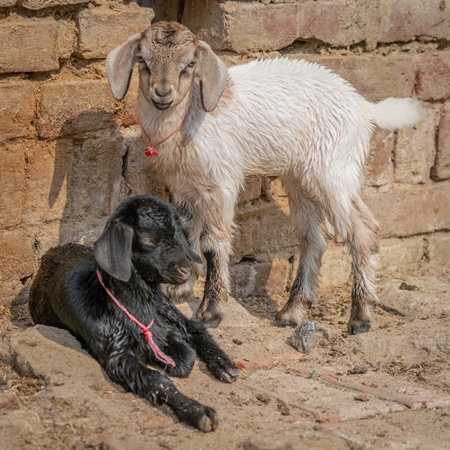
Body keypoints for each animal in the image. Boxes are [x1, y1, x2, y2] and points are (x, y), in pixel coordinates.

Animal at [29, 194, 239, 432]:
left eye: (177, 234)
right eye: (147, 240)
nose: (185, 269)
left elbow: (183, 351)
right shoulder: (115, 354)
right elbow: (159, 379)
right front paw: (199, 412)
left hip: (165, 304)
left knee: (193, 327)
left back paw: (224, 365)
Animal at [105, 22, 422, 336]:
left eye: (190, 64)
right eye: (142, 60)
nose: (162, 93)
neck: (188, 118)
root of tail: (364, 107)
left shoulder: (220, 184)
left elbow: (213, 243)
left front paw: (210, 312)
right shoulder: (183, 186)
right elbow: (185, 231)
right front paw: (180, 288)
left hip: (332, 172)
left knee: (364, 231)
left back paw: (360, 317)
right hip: (300, 180)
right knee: (313, 238)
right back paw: (292, 311)